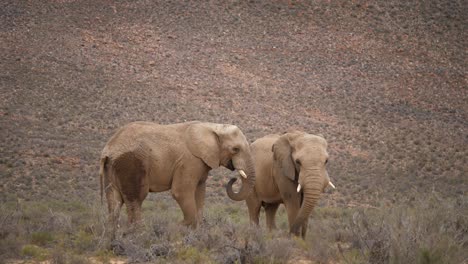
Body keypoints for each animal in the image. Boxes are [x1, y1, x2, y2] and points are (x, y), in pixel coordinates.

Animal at [99, 120, 258, 238]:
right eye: (235, 149)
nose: (234, 179)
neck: (212, 126)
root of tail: (108, 149)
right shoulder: (189, 161)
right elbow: (181, 192)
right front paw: (174, 229)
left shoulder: (201, 163)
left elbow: (200, 193)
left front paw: (197, 233)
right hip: (131, 164)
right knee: (135, 200)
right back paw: (139, 235)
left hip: (112, 168)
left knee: (114, 201)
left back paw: (112, 237)